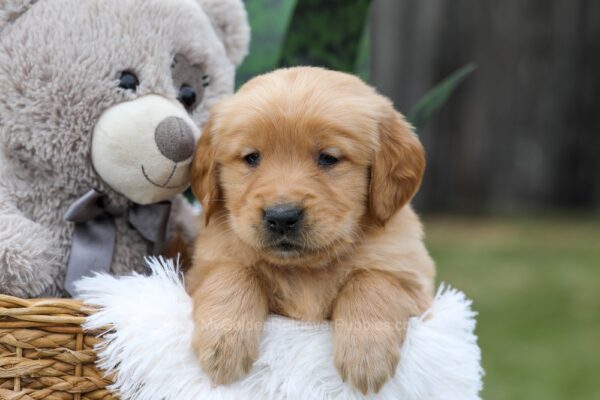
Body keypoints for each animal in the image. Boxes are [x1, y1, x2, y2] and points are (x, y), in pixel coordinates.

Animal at [188, 66, 436, 394]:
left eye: (328, 158)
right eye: (251, 157)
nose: (281, 217)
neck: (304, 270)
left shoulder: (414, 282)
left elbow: (374, 280)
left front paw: (366, 356)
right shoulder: (202, 268)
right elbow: (232, 272)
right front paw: (222, 343)